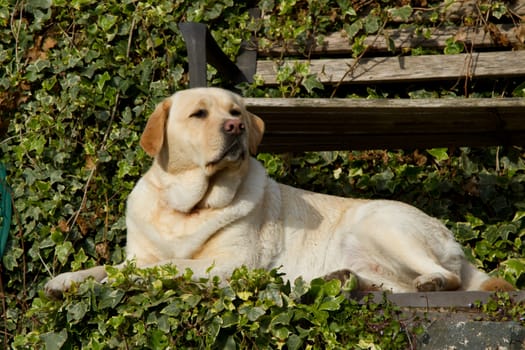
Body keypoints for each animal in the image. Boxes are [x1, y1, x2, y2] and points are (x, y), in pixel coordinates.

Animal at [45, 87, 512, 296]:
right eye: (199, 114)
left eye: (236, 111)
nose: (235, 126)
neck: (187, 208)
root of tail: (453, 241)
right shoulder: (139, 254)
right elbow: (110, 268)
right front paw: (66, 279)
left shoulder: (232, 264)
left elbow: (161, 268)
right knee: (393, 286)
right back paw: (344, 279)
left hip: (383, 223)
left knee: (448, 279)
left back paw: (432, 281)